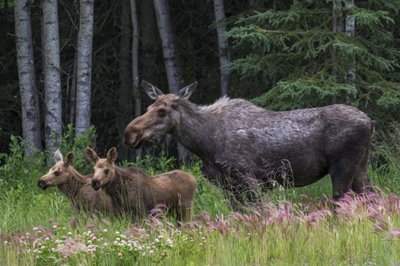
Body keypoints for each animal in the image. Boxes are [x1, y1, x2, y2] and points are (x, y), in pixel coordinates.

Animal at [123, 81, 374, 202]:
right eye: (149, 106)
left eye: (162, 110)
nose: (130, 133)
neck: (203, 143)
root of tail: (370, 122)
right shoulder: (226, 185)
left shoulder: (248, 178)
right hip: (361, 167)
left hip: (342, 166)